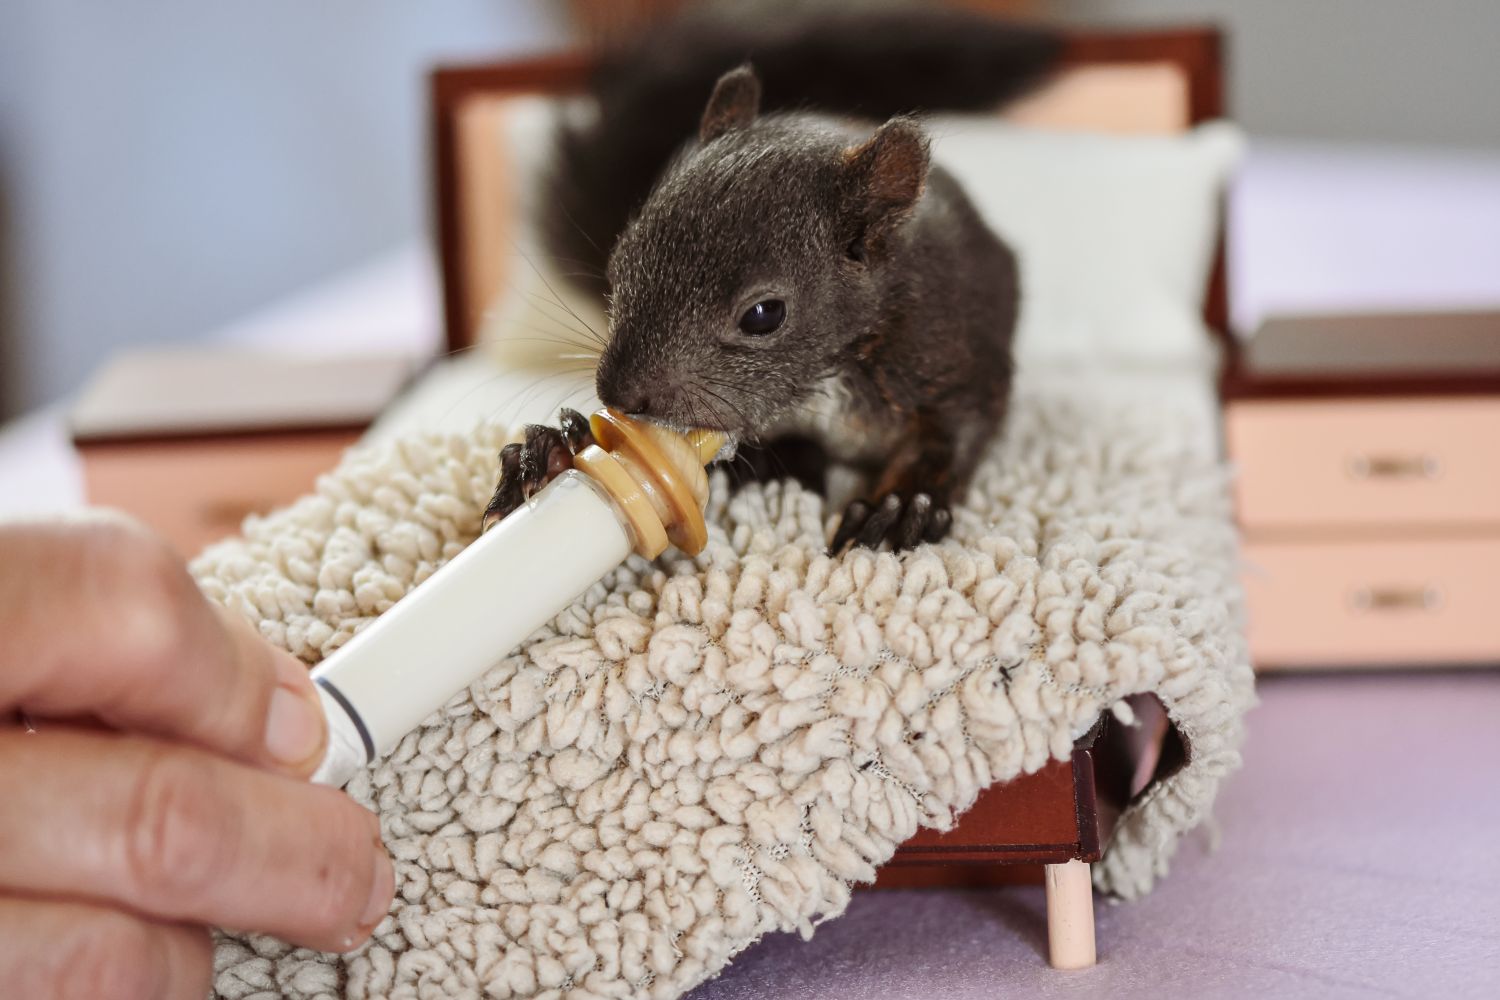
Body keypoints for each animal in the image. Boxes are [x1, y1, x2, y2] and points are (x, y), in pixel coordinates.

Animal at [484, 7, 1061, 552]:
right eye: (619, 263)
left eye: (764, 315)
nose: (619, 393)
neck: (819, 386)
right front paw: (557, 447)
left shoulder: (953, 354)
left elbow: (957, 431)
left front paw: (904, 503)